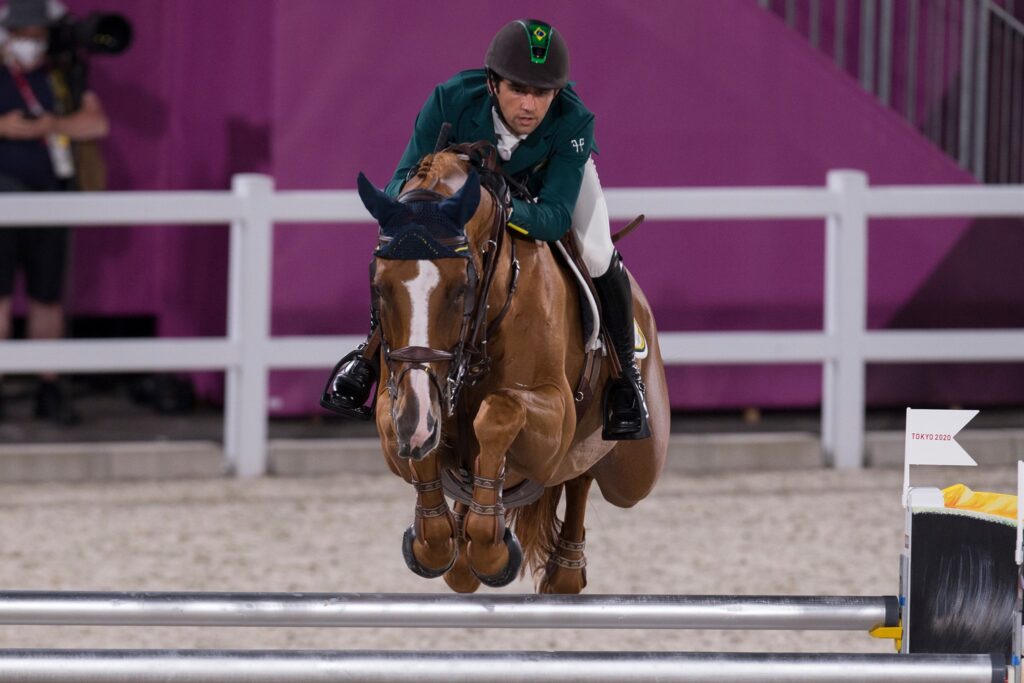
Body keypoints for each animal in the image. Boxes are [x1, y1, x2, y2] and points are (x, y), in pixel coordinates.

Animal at [356, 148, 667, 593]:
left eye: (461, 288)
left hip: (634, 473)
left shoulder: (554, 417)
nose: (419, 421)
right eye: (379, 287)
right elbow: (411, 435)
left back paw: (564, 570)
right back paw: (464, 552)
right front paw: (437, 541)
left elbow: (500, 412)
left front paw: (491, 549)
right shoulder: (398, 403)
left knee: (581, 474)